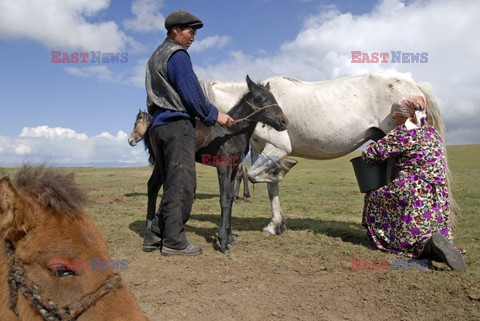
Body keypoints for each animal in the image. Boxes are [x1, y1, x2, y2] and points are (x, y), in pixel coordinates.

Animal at [128, 75, 288, 252]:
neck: (231, 131)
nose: (284, 122)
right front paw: (223, 242)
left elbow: (230, 198)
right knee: (154, 185)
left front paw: (230, 237)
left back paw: (151, 229)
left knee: (153, 185)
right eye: (262, 99)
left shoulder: (233, 168)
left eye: (274, 98)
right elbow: (224, 199)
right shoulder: (223, 165)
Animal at [201, 72, 448, 235]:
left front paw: (283, 170)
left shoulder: (278, 148)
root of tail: (414, 85)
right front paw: (275, 224)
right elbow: (271, 188)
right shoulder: (263, 150)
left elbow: (256, 175)